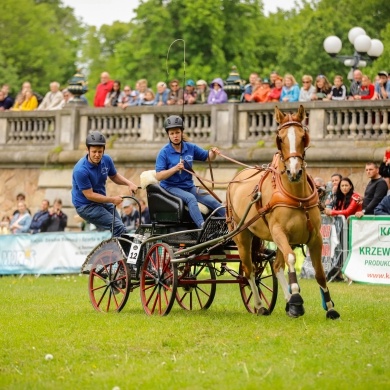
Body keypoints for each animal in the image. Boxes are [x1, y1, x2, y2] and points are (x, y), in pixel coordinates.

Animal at [227, 105, 340, 318]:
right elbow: (291, 259)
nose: (294, 172)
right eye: (280, 139)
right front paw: (296, 299)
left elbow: (320, 272)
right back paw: (260, 305)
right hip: (242, 235)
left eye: (304, 137)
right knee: (249, 270)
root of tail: (236, 177)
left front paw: (329, 307)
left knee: (276, 265)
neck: (296, 195)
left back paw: (287, 300)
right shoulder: (279, 232)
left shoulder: (315, 237)